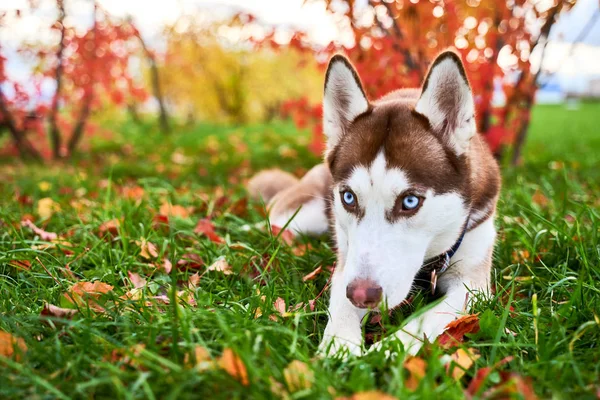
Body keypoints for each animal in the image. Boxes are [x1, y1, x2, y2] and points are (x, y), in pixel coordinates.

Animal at [248, 50, 502, 356]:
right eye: (349, 197)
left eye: (410, 201)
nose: (362, 294)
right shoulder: (347, 264)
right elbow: (342, 306)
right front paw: (339, 347)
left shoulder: (472, 284)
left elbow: (426, 318)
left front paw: (389, 350)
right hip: (303, 213)